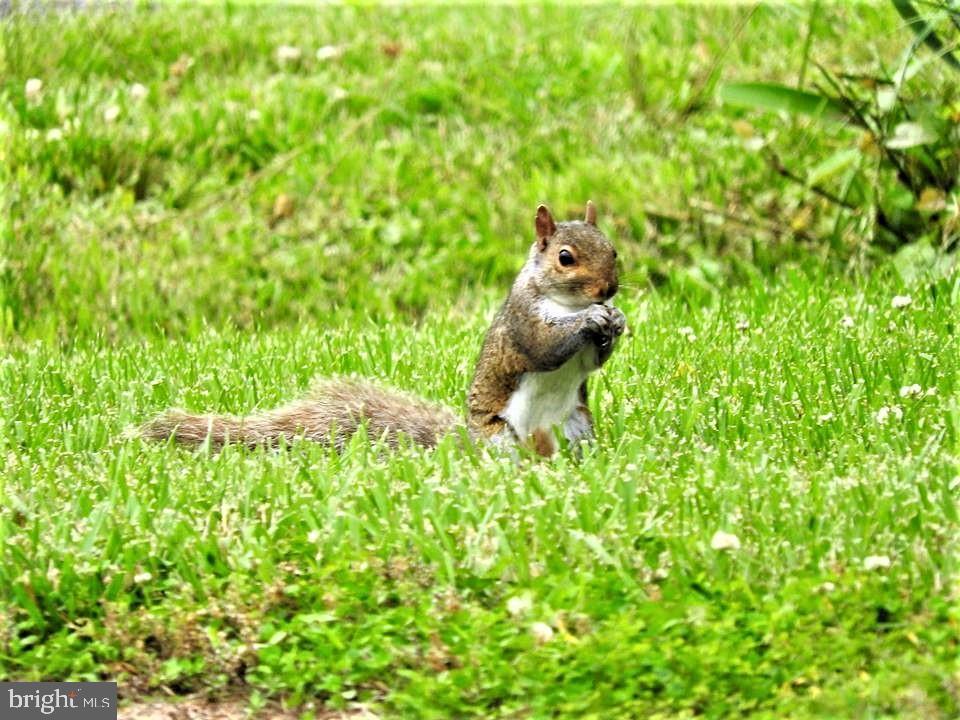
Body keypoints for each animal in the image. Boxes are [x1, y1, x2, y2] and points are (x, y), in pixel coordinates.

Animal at [140, 201, 625, 457]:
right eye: (565, 257)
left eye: (613, 250)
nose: (609, 289)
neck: (566, 301)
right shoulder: (523, 320)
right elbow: (546, 346)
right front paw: (592, 320)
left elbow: (593, 361)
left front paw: (615, 320)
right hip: (501, 438)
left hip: (576, 425)